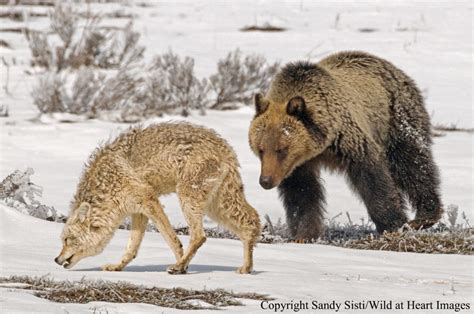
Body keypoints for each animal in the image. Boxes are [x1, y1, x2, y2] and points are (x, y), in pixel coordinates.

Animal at [250, 51, 442, 242]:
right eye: (260, 149)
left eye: (281, 149)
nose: (265, 180)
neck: (321, 146)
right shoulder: (297, 166)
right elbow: (301, 194)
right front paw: (304, 235)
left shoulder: (348, 141)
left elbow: (373, 180)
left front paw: (394, 225)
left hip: (395, 118)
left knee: (412, 164)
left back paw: (424, 216)